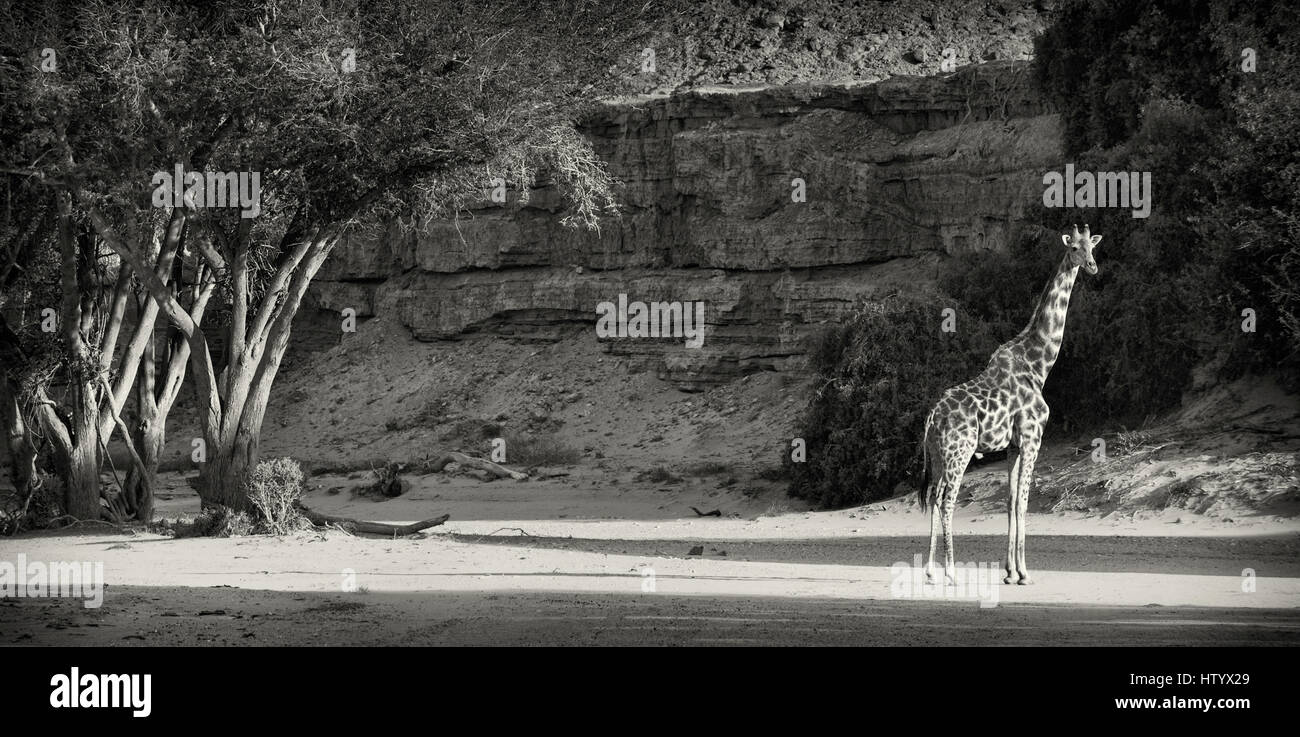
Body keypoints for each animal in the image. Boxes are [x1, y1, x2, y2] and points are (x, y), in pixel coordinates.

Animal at [920, 224, 1102, 587]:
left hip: (936, 455)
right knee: (947, 501)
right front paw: (1024, 573)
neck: (1039, 364)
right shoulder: (1033, 438)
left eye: (1092, 247)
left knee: (933, 497)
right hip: (959, 452)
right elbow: (1023, 503)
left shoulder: (1013, 445)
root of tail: (932, 417)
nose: (1092, 266)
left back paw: (931, 571)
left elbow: (1009, 500)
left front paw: (1009, 572)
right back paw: (951, 572)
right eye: (1074, 247)